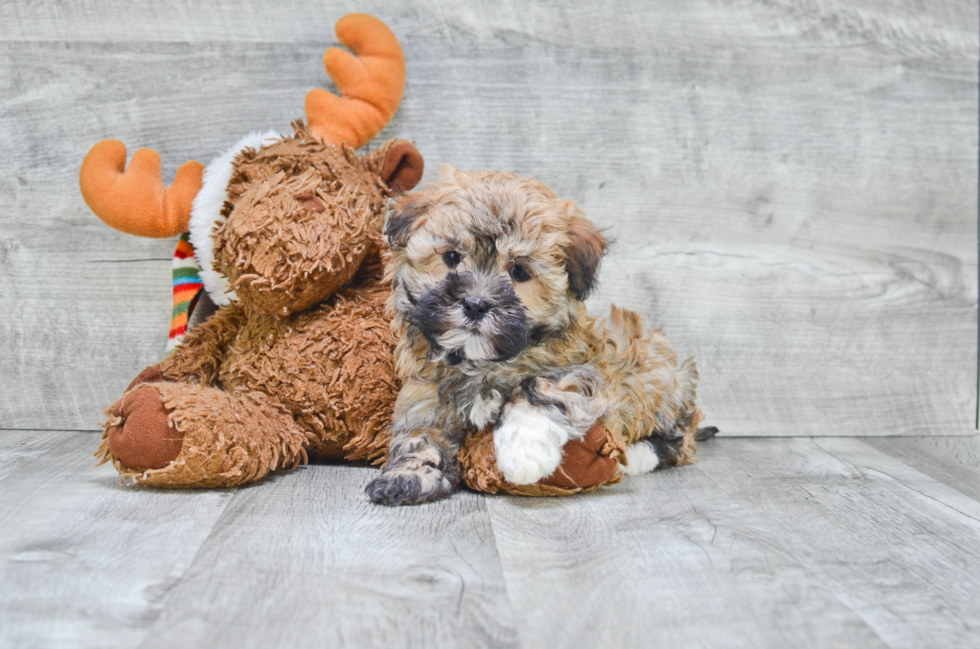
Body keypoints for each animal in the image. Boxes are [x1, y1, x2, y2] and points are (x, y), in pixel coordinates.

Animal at [368, 167, 712, 506]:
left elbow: (543, 386)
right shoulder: (425, 393)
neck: (482, 361)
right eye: (452, 257)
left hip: (658, 383)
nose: (475, 304)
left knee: (677, 441)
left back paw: (637, 457)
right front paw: (408, 475)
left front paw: (523, 452)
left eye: (519, 271)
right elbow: (419, 435)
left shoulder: (592, 369)